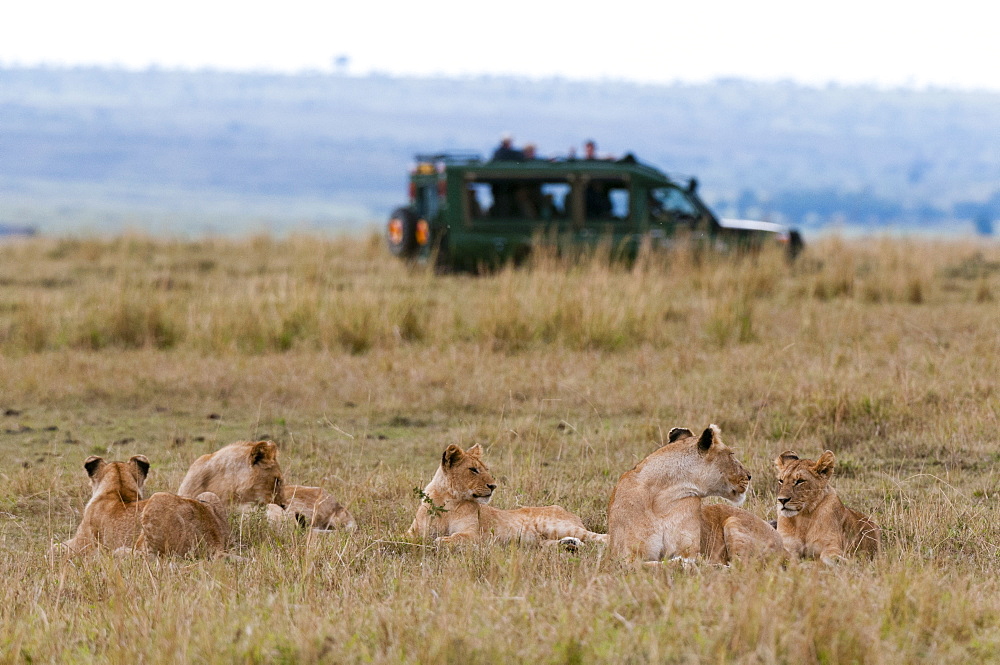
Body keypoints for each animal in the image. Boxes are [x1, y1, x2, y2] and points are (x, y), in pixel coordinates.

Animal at [62, 452, 229, 556]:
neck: (118, 490)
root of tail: (215, 542)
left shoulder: (81, 544)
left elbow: (57, 547)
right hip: (208, 495)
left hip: (158, 499)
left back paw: (119, 552)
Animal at [408, 444, 608, 548]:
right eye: (473, 469)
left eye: (486, 469)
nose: (493, 486)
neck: (448, 500)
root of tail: (568, 512)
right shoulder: (413, 531)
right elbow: (409, 537)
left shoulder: (477, 535)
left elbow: (457, 537)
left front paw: (442, 540)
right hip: (541, 542)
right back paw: (570, 545)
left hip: (557, 525)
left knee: (602, 537)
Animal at [604, 428, 784, 564]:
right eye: (731, 454)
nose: (749, 475)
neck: (662, 498)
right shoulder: (625, 556)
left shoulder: (688, 548)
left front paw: (694, 563)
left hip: (733, 521)